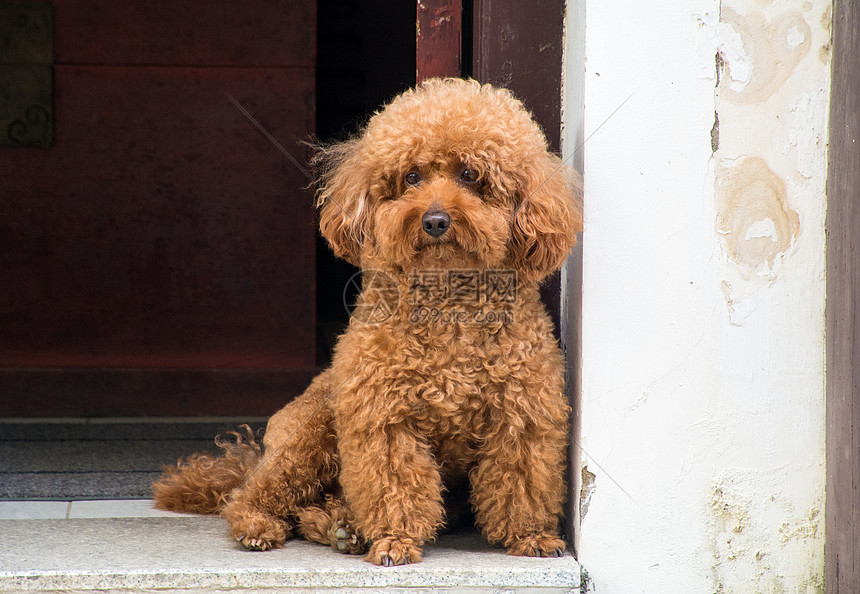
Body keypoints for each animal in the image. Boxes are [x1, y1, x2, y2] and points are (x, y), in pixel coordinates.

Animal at [155, 78, 584, 564]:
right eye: (412, 176)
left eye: (470, 175)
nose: (435, 220)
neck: (448, 304)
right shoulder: (383, 416)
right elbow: (393, 483)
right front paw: (395, 540)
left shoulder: (522, 413)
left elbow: (522, 481)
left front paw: (530, 536)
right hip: (310, 433)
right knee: (254, 493)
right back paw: (261, 525)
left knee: (318, 506)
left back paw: (340, 527)